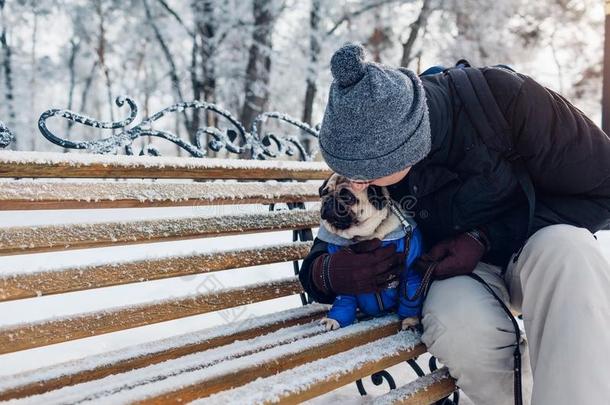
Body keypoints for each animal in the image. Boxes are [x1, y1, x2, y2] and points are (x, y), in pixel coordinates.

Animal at [316, 172, 420, 330]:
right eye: (324, 193)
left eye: (347, 197)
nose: (329, 200)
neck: (365, 238)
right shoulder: (343, 279)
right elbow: (343, 298)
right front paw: (334, 320)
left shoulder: (410, 271)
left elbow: (409, 292)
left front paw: (410, 320)